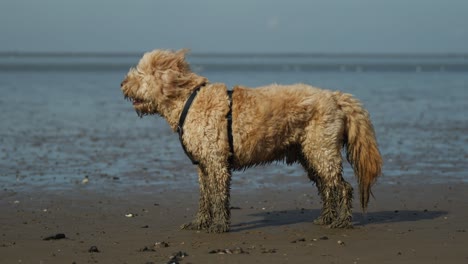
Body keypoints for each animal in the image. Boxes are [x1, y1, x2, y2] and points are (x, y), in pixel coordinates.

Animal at [122, 48, 382, 232]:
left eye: (140, 74)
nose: (122, 83)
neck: (189, 100)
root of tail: (334, 97)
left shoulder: (217, 163)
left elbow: (218, 197)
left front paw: (219, 226)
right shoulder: (203, 166)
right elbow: (205, 198)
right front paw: (199, 223)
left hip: (321, 150)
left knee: (342, 187)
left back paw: (342, 221)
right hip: (310, 154)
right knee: (327, 187)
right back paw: (326, 218)